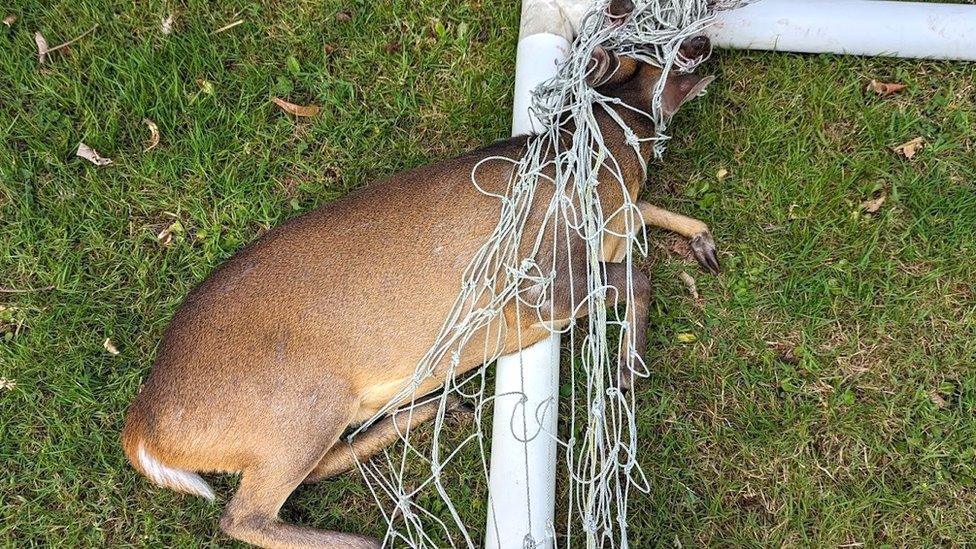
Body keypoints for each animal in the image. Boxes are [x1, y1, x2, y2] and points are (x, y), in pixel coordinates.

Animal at [120, 34, 716, 548]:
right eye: (649, 48)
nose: (703, 42)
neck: (601, 164)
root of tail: (143, 430)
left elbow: (645, 220)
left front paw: (702, 240)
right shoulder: (541, 282)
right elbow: (639, 277)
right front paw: (628, 368)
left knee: (309, 474)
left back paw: (433, 409)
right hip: (299, 403)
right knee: (245, 514)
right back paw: (367, 536)